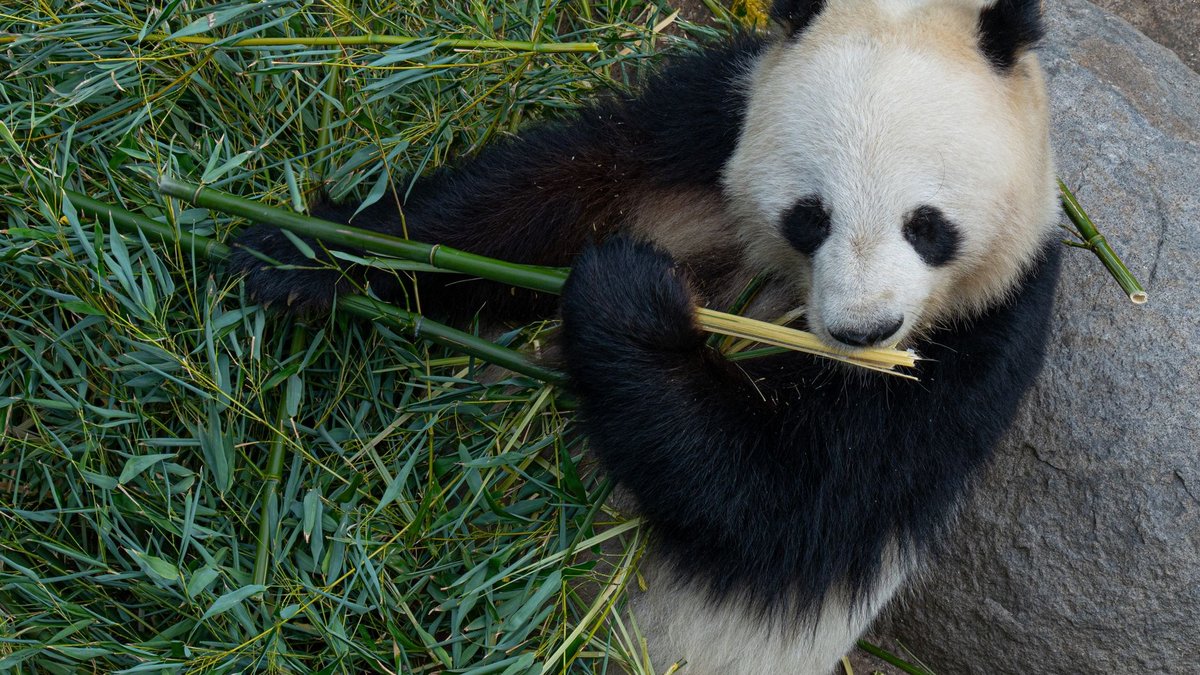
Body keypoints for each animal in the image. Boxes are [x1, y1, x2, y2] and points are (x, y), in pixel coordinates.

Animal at [231, 0, 1062, 672]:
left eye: (927, 225)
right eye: (810, 215)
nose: (865, 329)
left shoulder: (981, 344)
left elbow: (784, 497)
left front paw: (626, 300)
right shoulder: (710, 119)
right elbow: (544, 195)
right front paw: (302, 250)